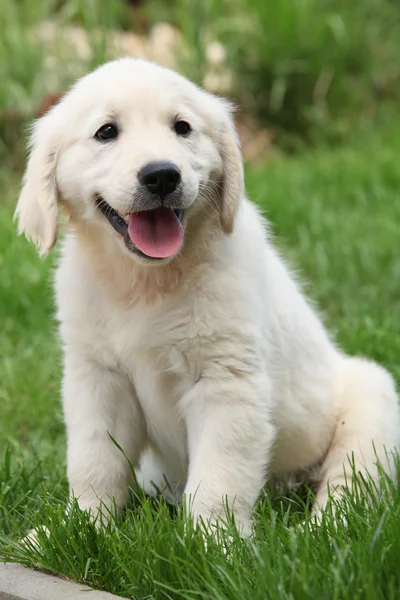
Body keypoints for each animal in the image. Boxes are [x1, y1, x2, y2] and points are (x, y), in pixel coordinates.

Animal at [14, 57, 396, 536]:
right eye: (106, 131)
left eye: (182, 127)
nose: (162, 175)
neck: (146, 282)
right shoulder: (98, 376)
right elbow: (93, 461)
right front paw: (76, 527)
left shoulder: (226, 380)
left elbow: (220, 475)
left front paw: (215, 542)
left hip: (372, 403)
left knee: (351, 485)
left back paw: (320, 529)